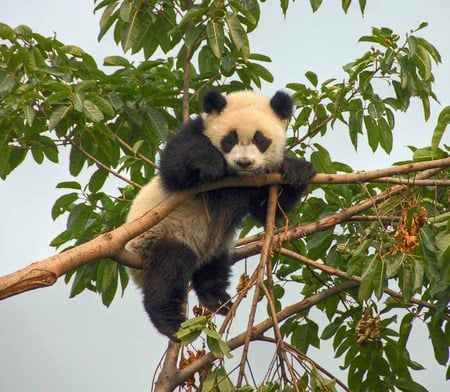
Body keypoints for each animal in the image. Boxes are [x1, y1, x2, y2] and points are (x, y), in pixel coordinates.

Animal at [125, 89, 316, 340]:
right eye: (230, 138)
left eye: (260, 140)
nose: (244, 162)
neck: (235, 178)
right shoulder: (193, 134)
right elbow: (174, 166)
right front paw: (211, 163)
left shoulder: (258, 182)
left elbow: (267, 209)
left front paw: (297, 169)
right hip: (158, 235)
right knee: (169, 270)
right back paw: (169, 321)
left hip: (214, 246)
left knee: (214, 269)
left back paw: (217, 299)